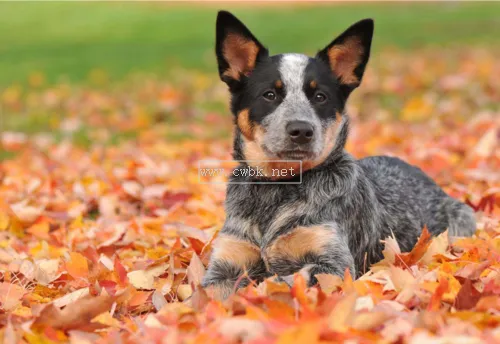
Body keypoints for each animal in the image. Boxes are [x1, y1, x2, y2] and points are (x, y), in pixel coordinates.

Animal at [201, 11, 474, 298]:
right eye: (269, 94)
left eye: (320, 96)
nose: (301, 130)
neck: (278, 190)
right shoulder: (225, 264)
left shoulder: (333, 264)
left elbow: (281, 280)